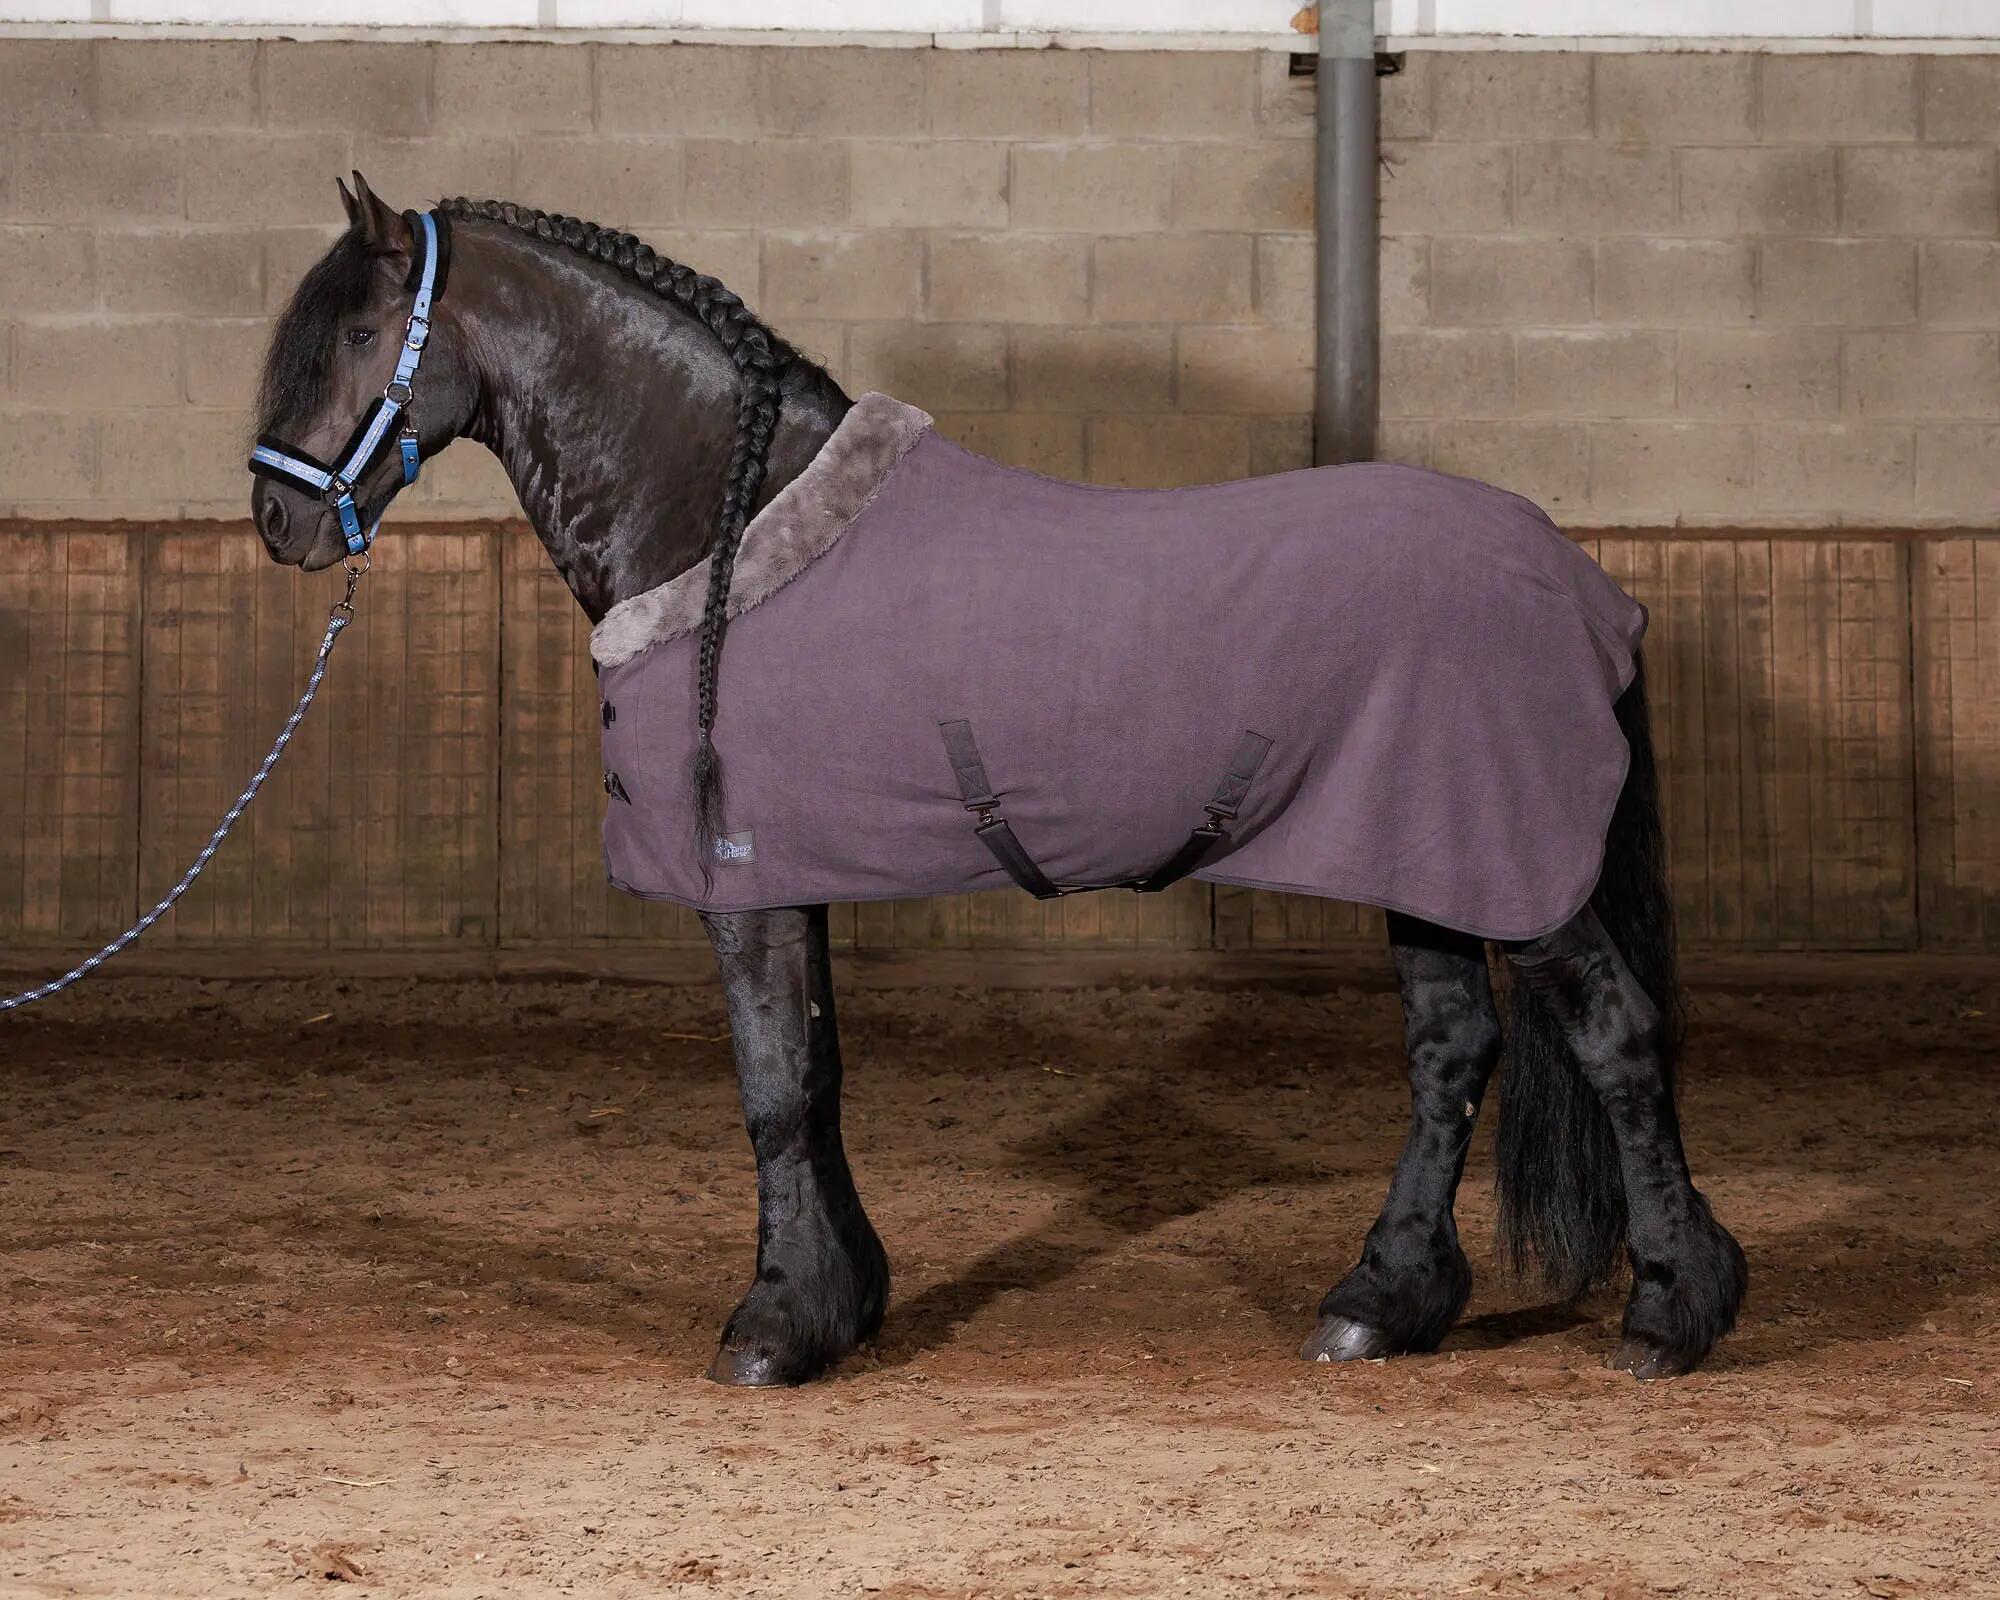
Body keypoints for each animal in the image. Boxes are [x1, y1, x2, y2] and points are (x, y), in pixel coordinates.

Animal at [248, 174, 1747, 1388]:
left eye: (362, 336)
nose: (274, 520)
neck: (728, 526)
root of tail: (1584, 585)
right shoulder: (799, 872)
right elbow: (819, 1072)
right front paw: (843, 1303)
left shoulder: (742, 879)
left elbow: (771, 1086)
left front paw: (770, 1328)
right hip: (1422, 860)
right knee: (1451, 1051)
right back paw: (1379, 1304)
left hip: (1512, 868)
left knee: (1615, 1033)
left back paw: (1672, 1312)